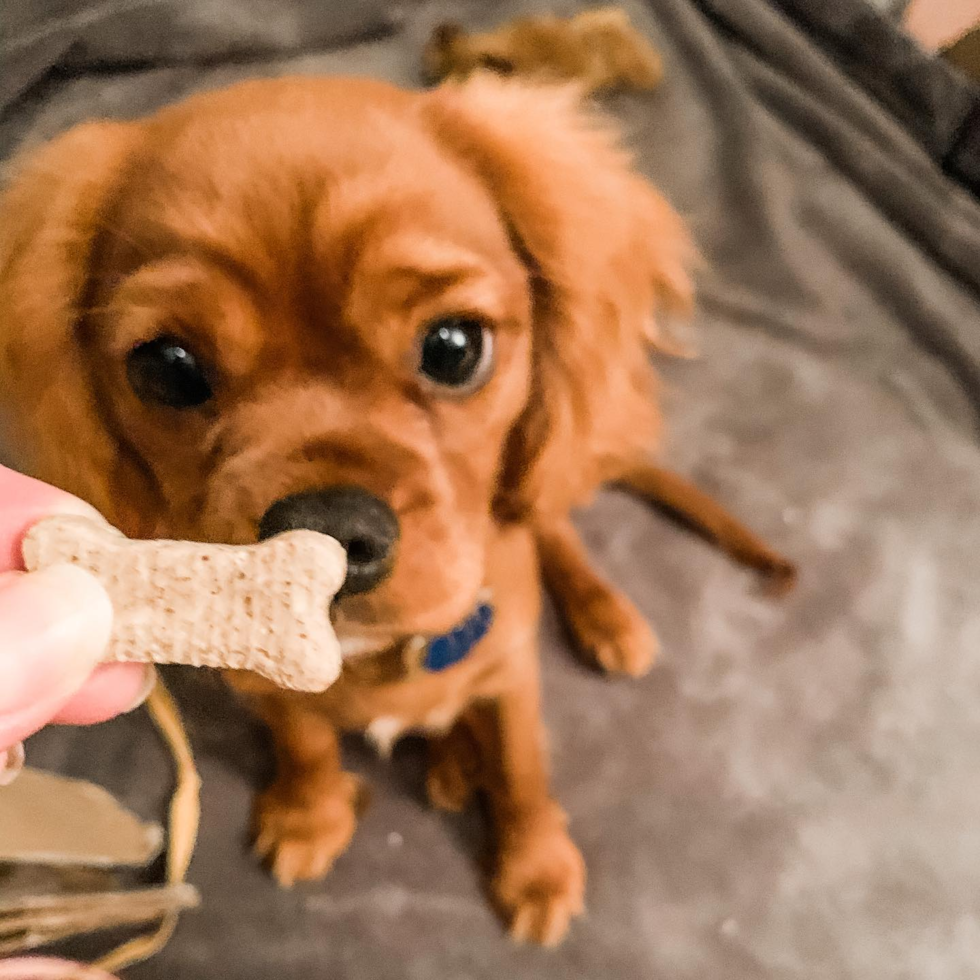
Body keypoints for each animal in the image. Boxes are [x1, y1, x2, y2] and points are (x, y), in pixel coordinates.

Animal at [0, 78, 784, 948]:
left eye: (453, 347)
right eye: (167, 369)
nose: (333, 529)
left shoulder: (513, 675)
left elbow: (524, 773)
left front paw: (537, 865)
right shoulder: (267, 686)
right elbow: (306, 741)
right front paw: (310, 815)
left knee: (557, 529)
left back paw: (600, 619)